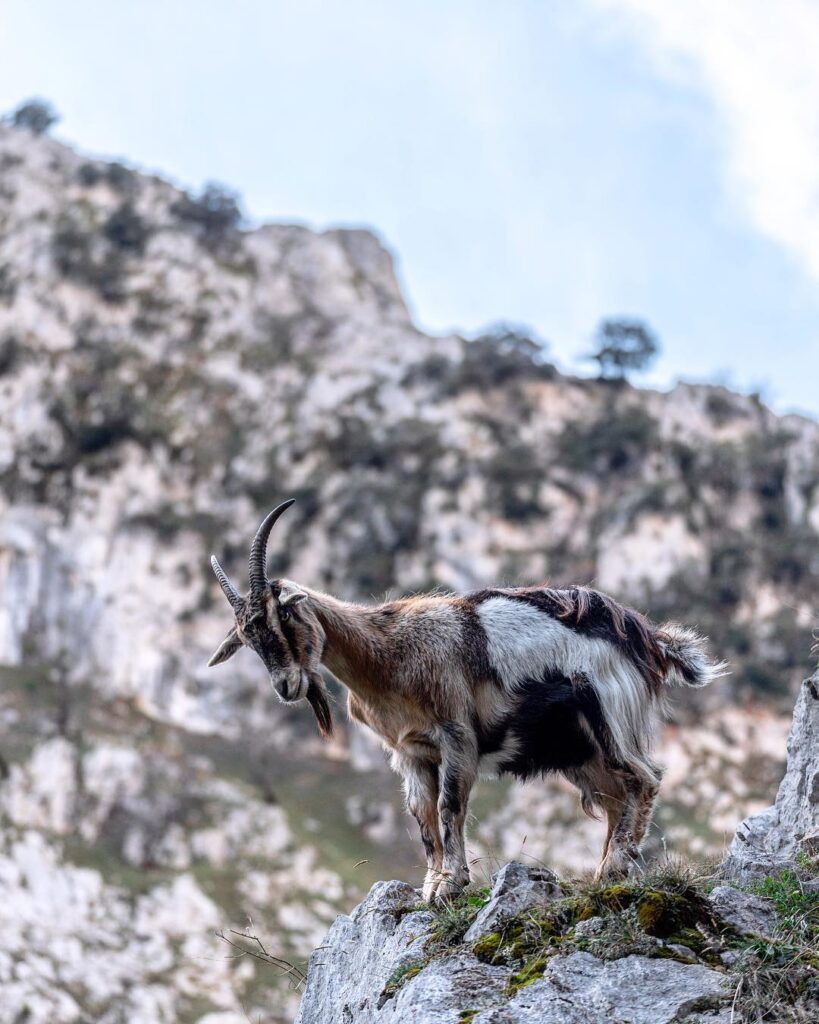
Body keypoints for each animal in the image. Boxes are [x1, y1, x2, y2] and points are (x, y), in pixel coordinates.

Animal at [207, 499, 724, 901]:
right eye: (247, 639)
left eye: (282, 616)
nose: (286, 687)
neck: (387, 653)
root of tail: (649, 638)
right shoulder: (410, 752)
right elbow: (423, 817)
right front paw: (431, 886)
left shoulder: (456, 737)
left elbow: (450, 806)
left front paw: (452, 884)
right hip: (581, 751)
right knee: (618, 797)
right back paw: (604, 873)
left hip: (611, 717)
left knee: (644, 779)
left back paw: (619, 865)